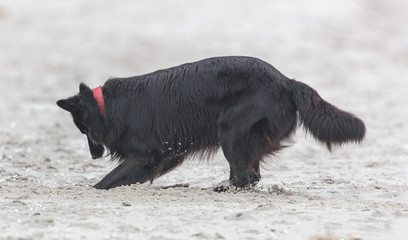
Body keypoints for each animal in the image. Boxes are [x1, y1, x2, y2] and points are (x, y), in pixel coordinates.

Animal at [55, 56, 364, 189]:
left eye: (83, 128)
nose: (94, 155)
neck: (108, 107)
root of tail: (287, 83)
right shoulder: (165, 156)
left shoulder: (146, 156)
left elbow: (109, 179)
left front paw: (94, 188)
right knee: (251, 175)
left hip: (230, 130)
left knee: (244, 178)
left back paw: (225, 189)